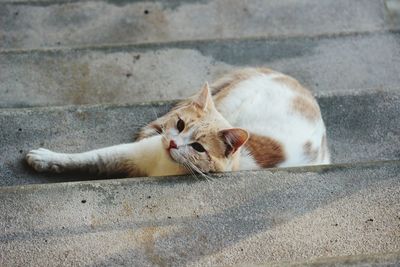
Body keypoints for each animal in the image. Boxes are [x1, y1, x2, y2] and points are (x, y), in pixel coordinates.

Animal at [25, 67, 332, 178]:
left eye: (198, 148)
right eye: (182, 125)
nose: (173, 143)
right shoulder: (129, 152)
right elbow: (89, 158)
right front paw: (46, 158)